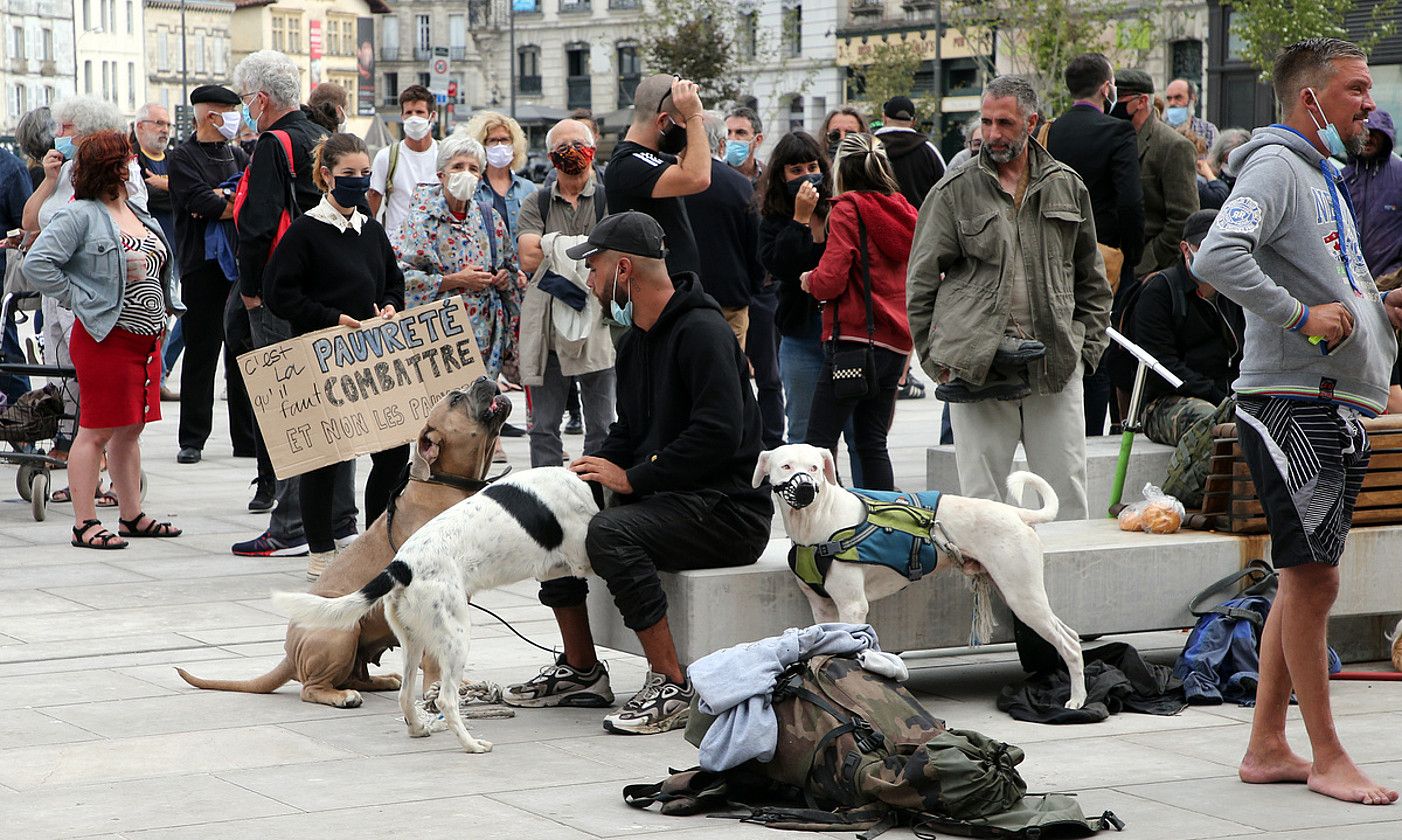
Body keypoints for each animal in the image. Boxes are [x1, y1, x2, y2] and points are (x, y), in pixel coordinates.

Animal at [175, 378, 513, 706]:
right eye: (456, 398)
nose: (484, 377)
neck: (448, 485)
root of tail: (289, 654)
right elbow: (433, 657)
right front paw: (436, 690)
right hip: (343, 628)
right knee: (312, 688)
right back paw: (343, 696)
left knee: (353, 675)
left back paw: (382, 680)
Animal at [762, 443, 1087, 712]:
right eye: (786, 466)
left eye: (815, 467)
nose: (807, 488)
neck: (818, 522)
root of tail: (1017, 514)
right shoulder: (822, 607)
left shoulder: (853, 606)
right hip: (1020, 593)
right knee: (1070, 635)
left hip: (1023, 595)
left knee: (1069, 645)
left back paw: (1077, 700)